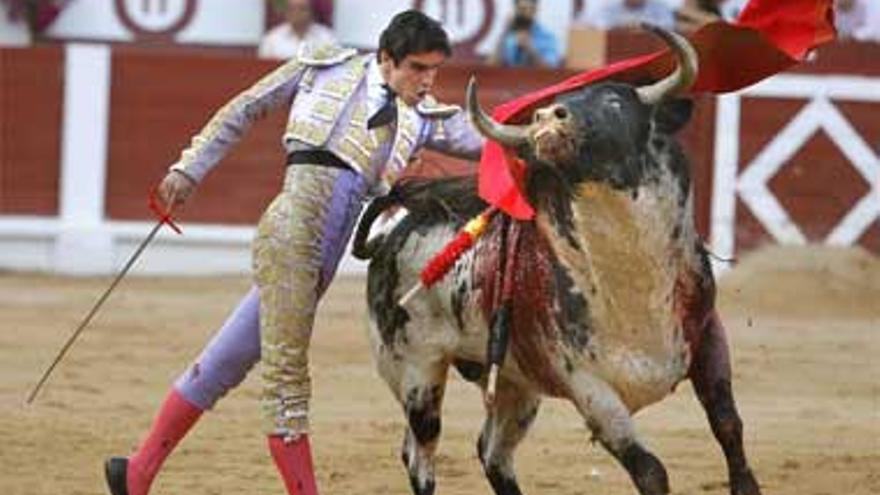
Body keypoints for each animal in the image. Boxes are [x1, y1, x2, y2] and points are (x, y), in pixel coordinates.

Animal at [352, 26, 764, 495]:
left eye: (615, 100)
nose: (547, 116)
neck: (634, 279)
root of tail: (391, 235)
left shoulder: (708, 336)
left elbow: (728, 425)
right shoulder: (587, 386)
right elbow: (650, 469)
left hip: (514, 384)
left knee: (492, 452)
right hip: (416, 372)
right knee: (422, 453)